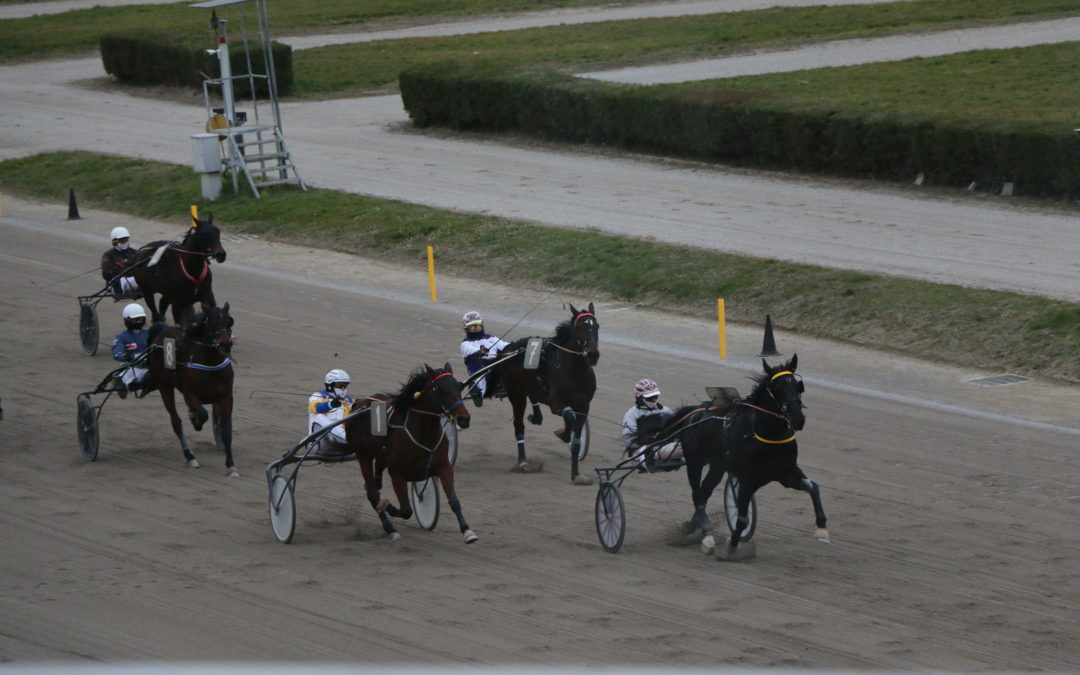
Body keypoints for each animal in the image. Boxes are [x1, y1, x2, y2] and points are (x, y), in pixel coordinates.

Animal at [145, 302, 236, 477]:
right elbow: (203, 413)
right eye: (211, 321)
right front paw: (195, 420)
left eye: (229, 322)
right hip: (164, 385)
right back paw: (190, 457)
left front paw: (231, 466)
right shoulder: (190, 393)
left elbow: (227, 432)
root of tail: (161, 331)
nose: (226, 345)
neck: (210, 364)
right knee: (176, 422)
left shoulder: (226, 397)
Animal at [345, 362, 477, 542]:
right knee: (373, 494)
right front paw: (388, 506)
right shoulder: (397, 473)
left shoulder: (444, 467)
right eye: (440, 388)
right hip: (363, 455)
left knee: (374, 484)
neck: (423, 434)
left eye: (459, 386)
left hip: (380, 455)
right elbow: (406, 510)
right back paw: (390, 529)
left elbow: (454, 501)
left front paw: (467, 531)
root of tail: (359, 403)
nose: (464, 419)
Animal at [494, 302, 600, 483]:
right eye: (579, 327)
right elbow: (569, 416)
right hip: (516, 394)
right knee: (518, 425)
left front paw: (576, 474)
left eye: (597, 326)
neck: (574, 370)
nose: (592, 354)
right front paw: (564, 434)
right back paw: (523, 462)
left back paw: (536, 417)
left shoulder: (584, 406)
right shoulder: (556, 403)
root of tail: (508, 348)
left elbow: (577, 441)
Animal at [673, 356, 825, 561]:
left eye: (797, 386)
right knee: (697, 494)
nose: (797, 418)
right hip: (694, 462)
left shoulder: (787, 473)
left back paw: (692, 528)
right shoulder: (747, 479)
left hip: (717, 466)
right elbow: (743, 519)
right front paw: (731, 546)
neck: (768, 436)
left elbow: (813, 487)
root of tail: (696, 411)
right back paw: (706, 536)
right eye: (777, 388)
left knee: (704, 492)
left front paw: (822, 528)